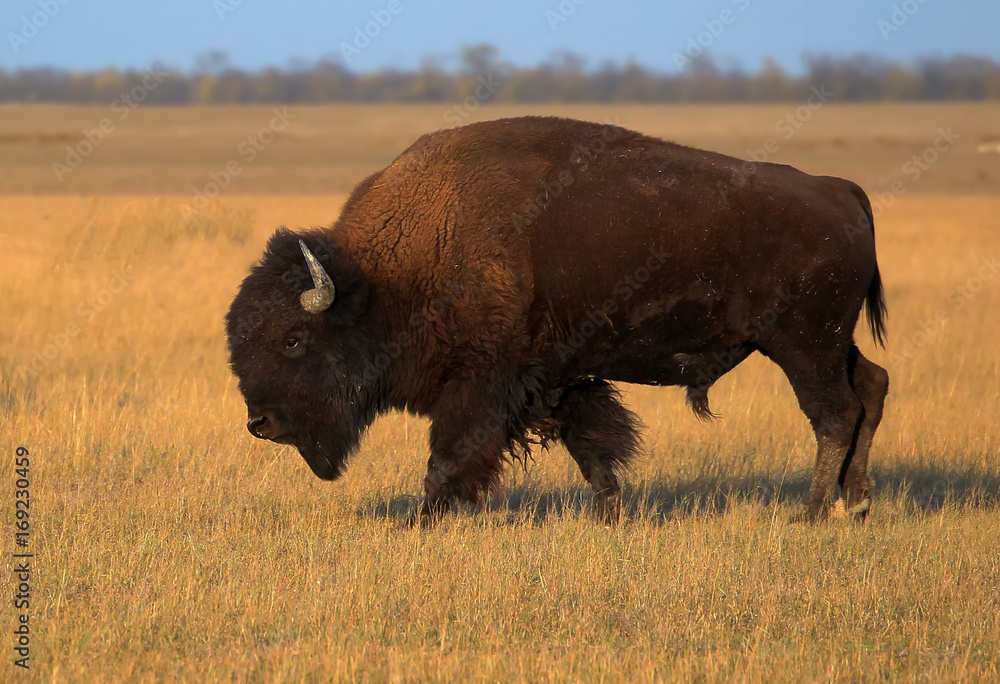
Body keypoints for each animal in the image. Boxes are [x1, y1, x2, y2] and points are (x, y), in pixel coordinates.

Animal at [223, 116, 888, 524]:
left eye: (292, 339)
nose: (260, 423)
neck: (385, 280)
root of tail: (841, 191)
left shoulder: (484, 383)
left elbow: (451, 455)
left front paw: (419, 521)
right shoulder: (557, 377)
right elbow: (591, 445)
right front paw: (610, 515)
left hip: (805, 344)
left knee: (835, 412)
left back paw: (810, 512)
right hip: (833, 342)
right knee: (871, 388)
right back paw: (855, 504)